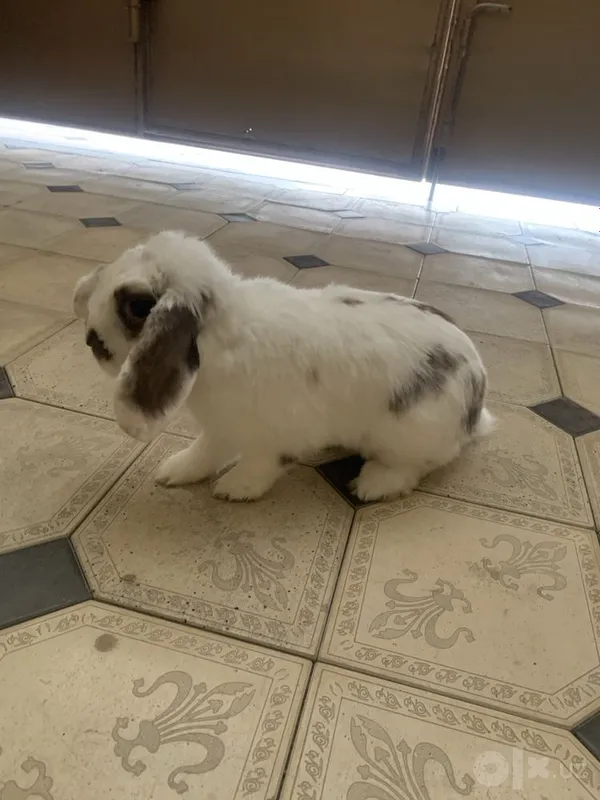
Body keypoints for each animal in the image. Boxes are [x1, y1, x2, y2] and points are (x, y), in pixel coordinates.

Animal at [73, 230, 493, 502]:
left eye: (138, 307)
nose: (91, 341)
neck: (222, 338)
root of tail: (476, 396)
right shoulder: (220, 427)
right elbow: (204, 453)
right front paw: (174, 472)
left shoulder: (277, 433)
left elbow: (262, 463)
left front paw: (234, 489)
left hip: (408, 434)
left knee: (415, 467)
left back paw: (373, 485)